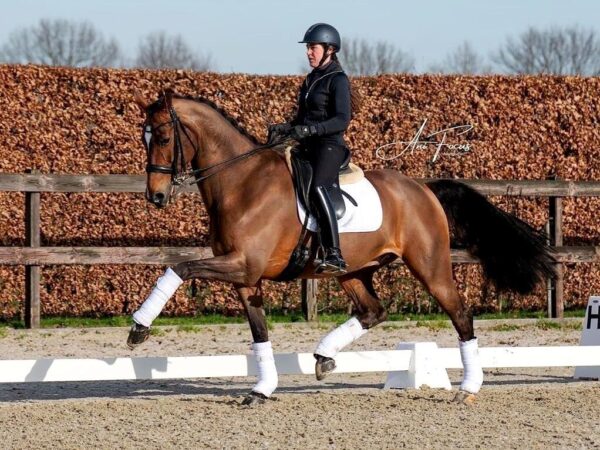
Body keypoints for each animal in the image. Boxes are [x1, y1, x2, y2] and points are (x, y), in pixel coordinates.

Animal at [131, 89, 555, 406]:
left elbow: (179, 268)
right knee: (372, 311)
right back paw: (323, 356)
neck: (242, 183)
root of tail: (423, 188)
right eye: (144, 138)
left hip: (430, 266)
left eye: (164, 138)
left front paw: (139, 327)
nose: (155, 197)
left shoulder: (242, 264)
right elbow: (259, 332)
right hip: (353, 270)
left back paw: (468, 389)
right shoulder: (246, 277)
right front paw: (261, 389)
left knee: (461, 315)